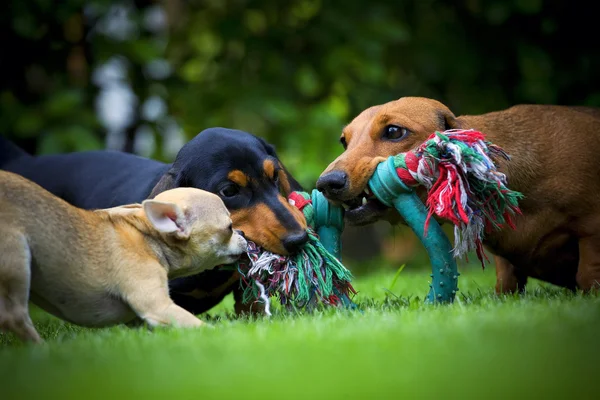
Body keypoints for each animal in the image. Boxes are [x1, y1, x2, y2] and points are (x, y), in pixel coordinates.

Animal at [0, 170, 247, 342]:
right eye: (229, 228)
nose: (244, 235)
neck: (148, 236)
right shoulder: (158, 307)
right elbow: (199, 325)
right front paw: (224, 336)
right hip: (17, 257)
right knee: (15, 316)